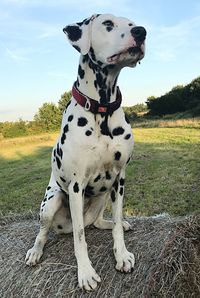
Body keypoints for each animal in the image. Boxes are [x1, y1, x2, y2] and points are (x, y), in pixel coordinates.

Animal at [25, 12, 146, 290]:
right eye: (108, 24)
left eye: (132, 24)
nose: (142, 32)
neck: (102, 110)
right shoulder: (76, 185)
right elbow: (80, 238)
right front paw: (86, 273)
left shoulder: (120, 178)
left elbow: (116, 226)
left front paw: (122, 255)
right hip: (52, 202)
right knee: (44, 231)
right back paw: (35, 252)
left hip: (103, 195)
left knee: (99, 222)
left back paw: (113, 222)